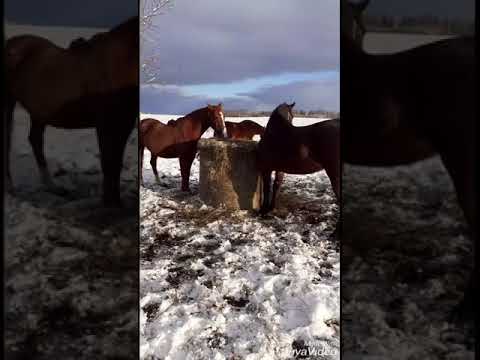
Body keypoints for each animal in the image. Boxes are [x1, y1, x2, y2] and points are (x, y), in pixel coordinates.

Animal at [5, 16, 139, 207]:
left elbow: (116, 163)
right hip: (8, 103)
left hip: (40, 112)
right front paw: (109, 203)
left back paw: (52, 187)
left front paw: (115, 201)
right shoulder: (105, 125)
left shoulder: (124, 124)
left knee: (35, 140)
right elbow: (108, 162)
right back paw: (10, 187)